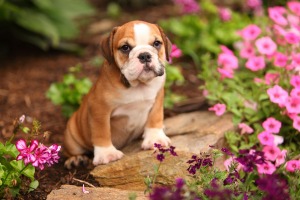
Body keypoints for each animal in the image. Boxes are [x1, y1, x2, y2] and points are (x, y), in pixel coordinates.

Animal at [64, 20, 172, 168]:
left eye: (156, 43)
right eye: (125, 47)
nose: (144, 55)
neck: (138, 85)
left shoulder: (158, 98)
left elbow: (155, 118)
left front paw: (155, 139)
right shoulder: (99, 109)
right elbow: (101, 131)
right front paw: (106, 153)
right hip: (72, 135)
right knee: (71, 151)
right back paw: (76, 159)